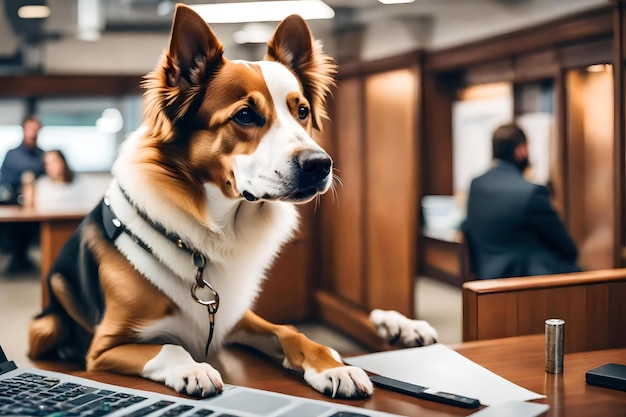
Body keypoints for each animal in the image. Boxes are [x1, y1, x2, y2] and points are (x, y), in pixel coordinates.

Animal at [25, 3, 434, 400]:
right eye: (245, 115)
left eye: (301, 111)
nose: (320, 165)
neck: (216, 228)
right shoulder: (105, 347)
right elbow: (169, 347)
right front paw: (193, 369)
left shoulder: (235, 316)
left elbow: (291, 330)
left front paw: (334, 367)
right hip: (44, 328)